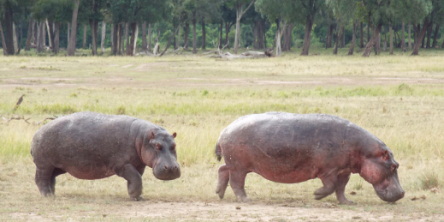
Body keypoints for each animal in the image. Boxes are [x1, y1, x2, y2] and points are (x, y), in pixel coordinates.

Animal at [30, 112, 180, 200]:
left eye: (174, 145)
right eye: (157, 146)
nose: (171, 168)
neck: (142, 138)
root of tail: (37, 132)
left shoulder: (139, 165)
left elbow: (136, 179)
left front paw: (136, 197)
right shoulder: (122, 165)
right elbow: (136, 178)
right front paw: (135, 197)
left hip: (58, 167)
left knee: (51, 179)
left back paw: (53, 194)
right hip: (44, 165)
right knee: (41, 179)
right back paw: (48, 196)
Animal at [215, 112, 406, 205]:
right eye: (393, 166)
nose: (403, 193)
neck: (365, 151)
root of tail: (225, 129)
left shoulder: (344, 171)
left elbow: (341, 188)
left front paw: (348, 202)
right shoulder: (328, 170)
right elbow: (331, 186)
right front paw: (316, 195)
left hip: (233, 163)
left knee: (222, 170)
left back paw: (219, 194)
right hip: (239, 166)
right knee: (237, 182)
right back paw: (246, 200)